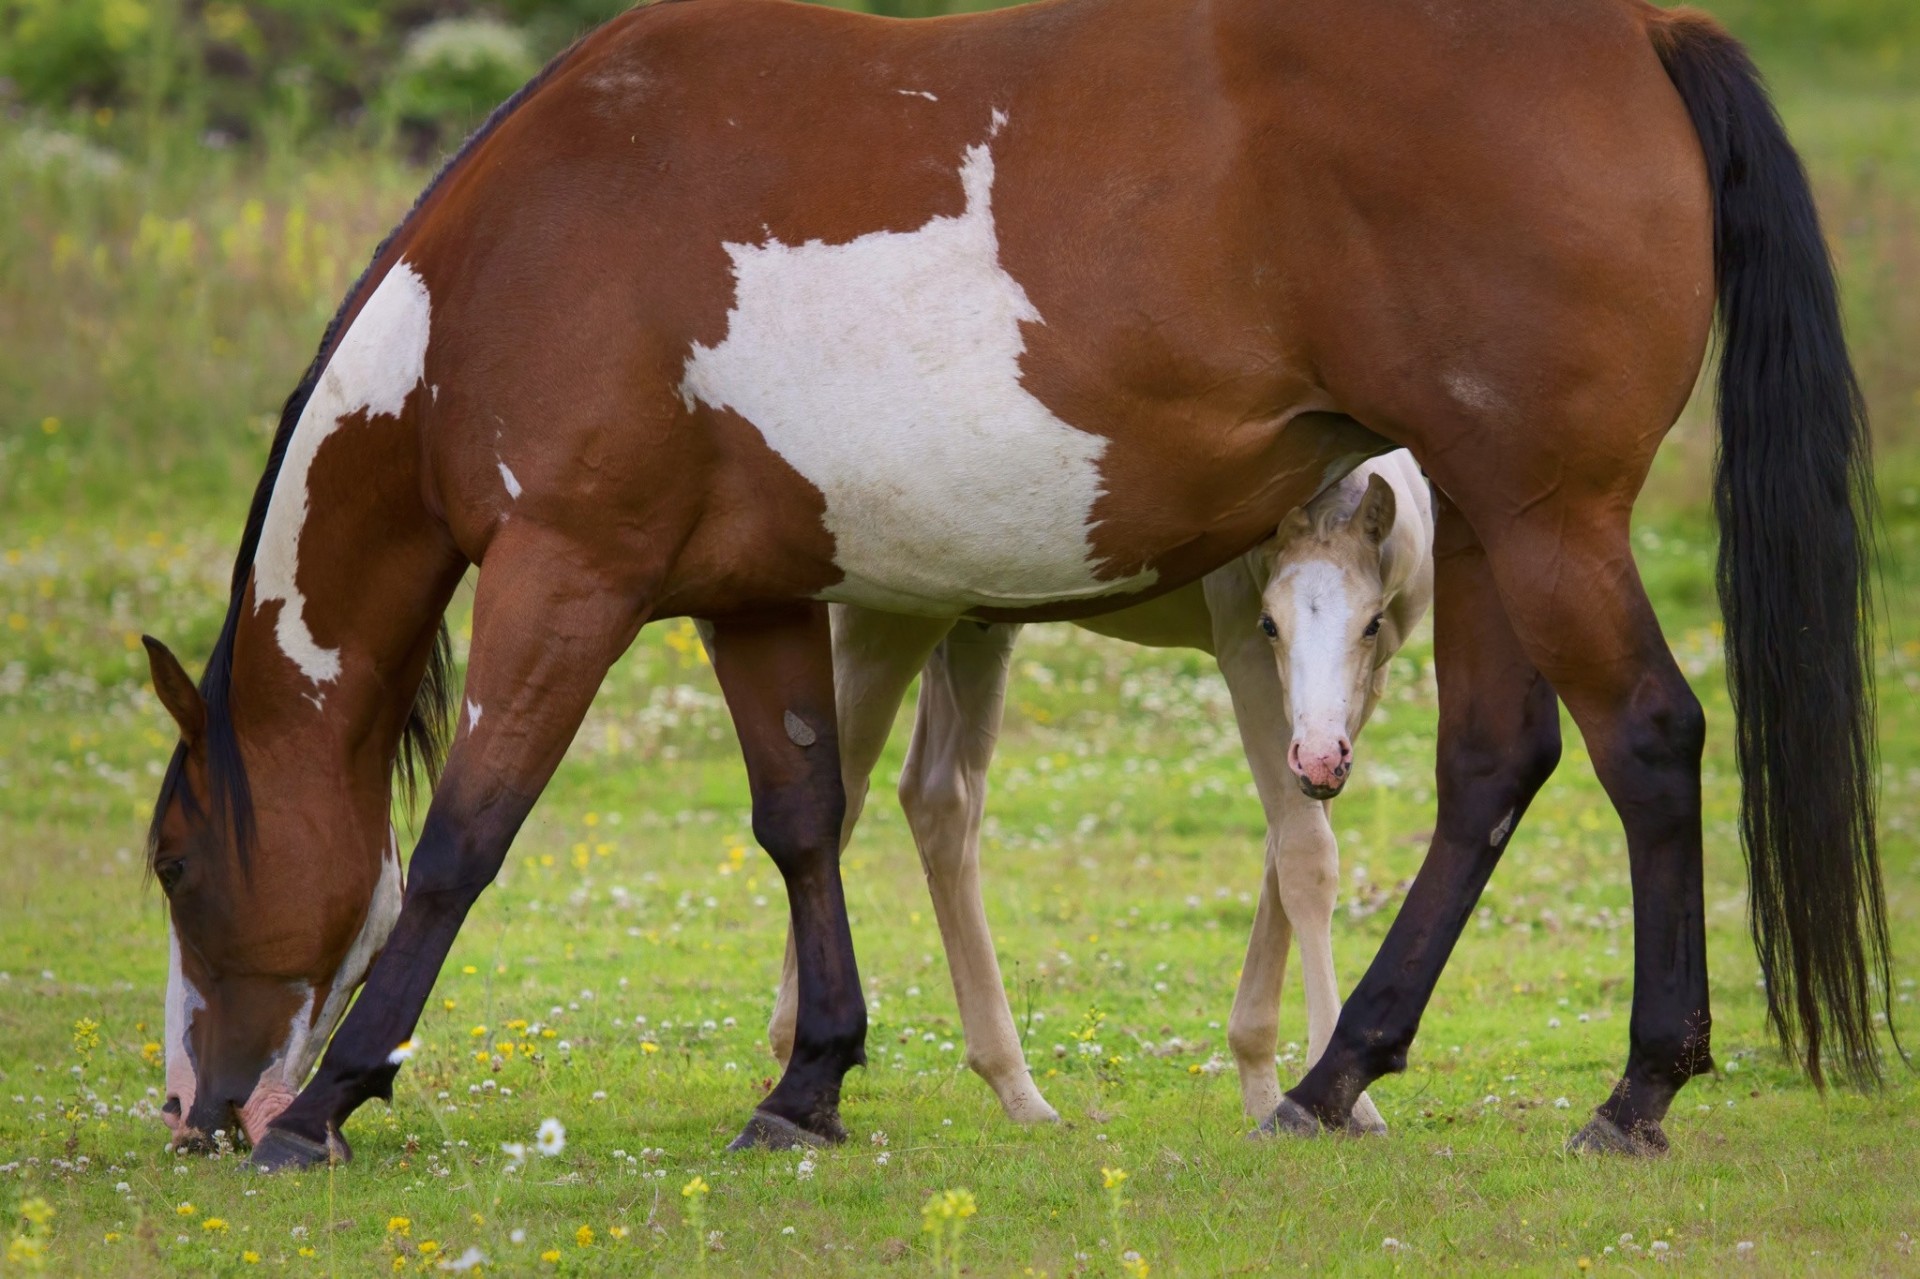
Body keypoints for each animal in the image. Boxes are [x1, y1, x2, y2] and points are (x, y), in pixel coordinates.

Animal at [758, 452, 1432, 1130]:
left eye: (1372, 623)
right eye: (1271, 623)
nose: (1320, 757)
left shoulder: (1359, 695)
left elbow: (1283, 843)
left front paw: (1267, 1085)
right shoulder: (1245, 653)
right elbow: (1304, 857)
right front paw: (1342, 1098)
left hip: (972, 624)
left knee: (938, 798)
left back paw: (1015, 1089)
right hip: (885, 618)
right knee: (841, 790)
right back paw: (796, 1052)